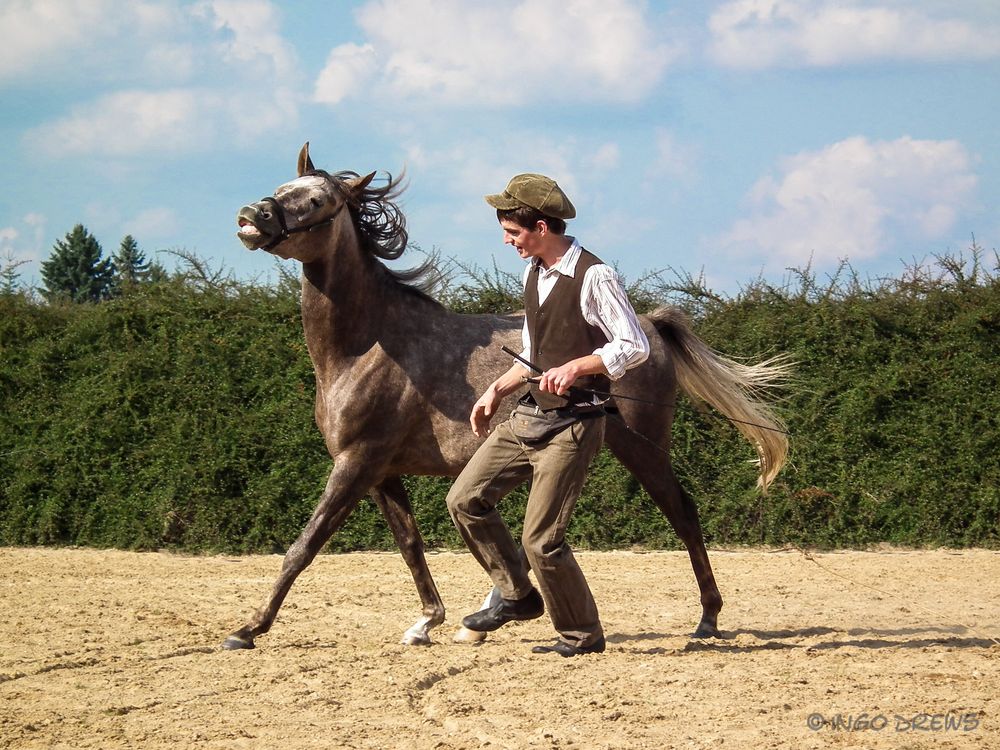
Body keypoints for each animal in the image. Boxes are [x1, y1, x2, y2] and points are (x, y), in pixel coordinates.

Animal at [225, 144, 788, 648]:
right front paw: (427, 622)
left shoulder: (356, 464)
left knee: (682, 515)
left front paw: (248, 629)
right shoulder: (380, 472)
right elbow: (410, 544)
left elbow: (304, 546)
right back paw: (492, 614)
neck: (367, 346)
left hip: (643, 449)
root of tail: (647, 325)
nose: (252, 216)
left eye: (317, 200)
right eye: (282, 186)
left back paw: (707, 621)